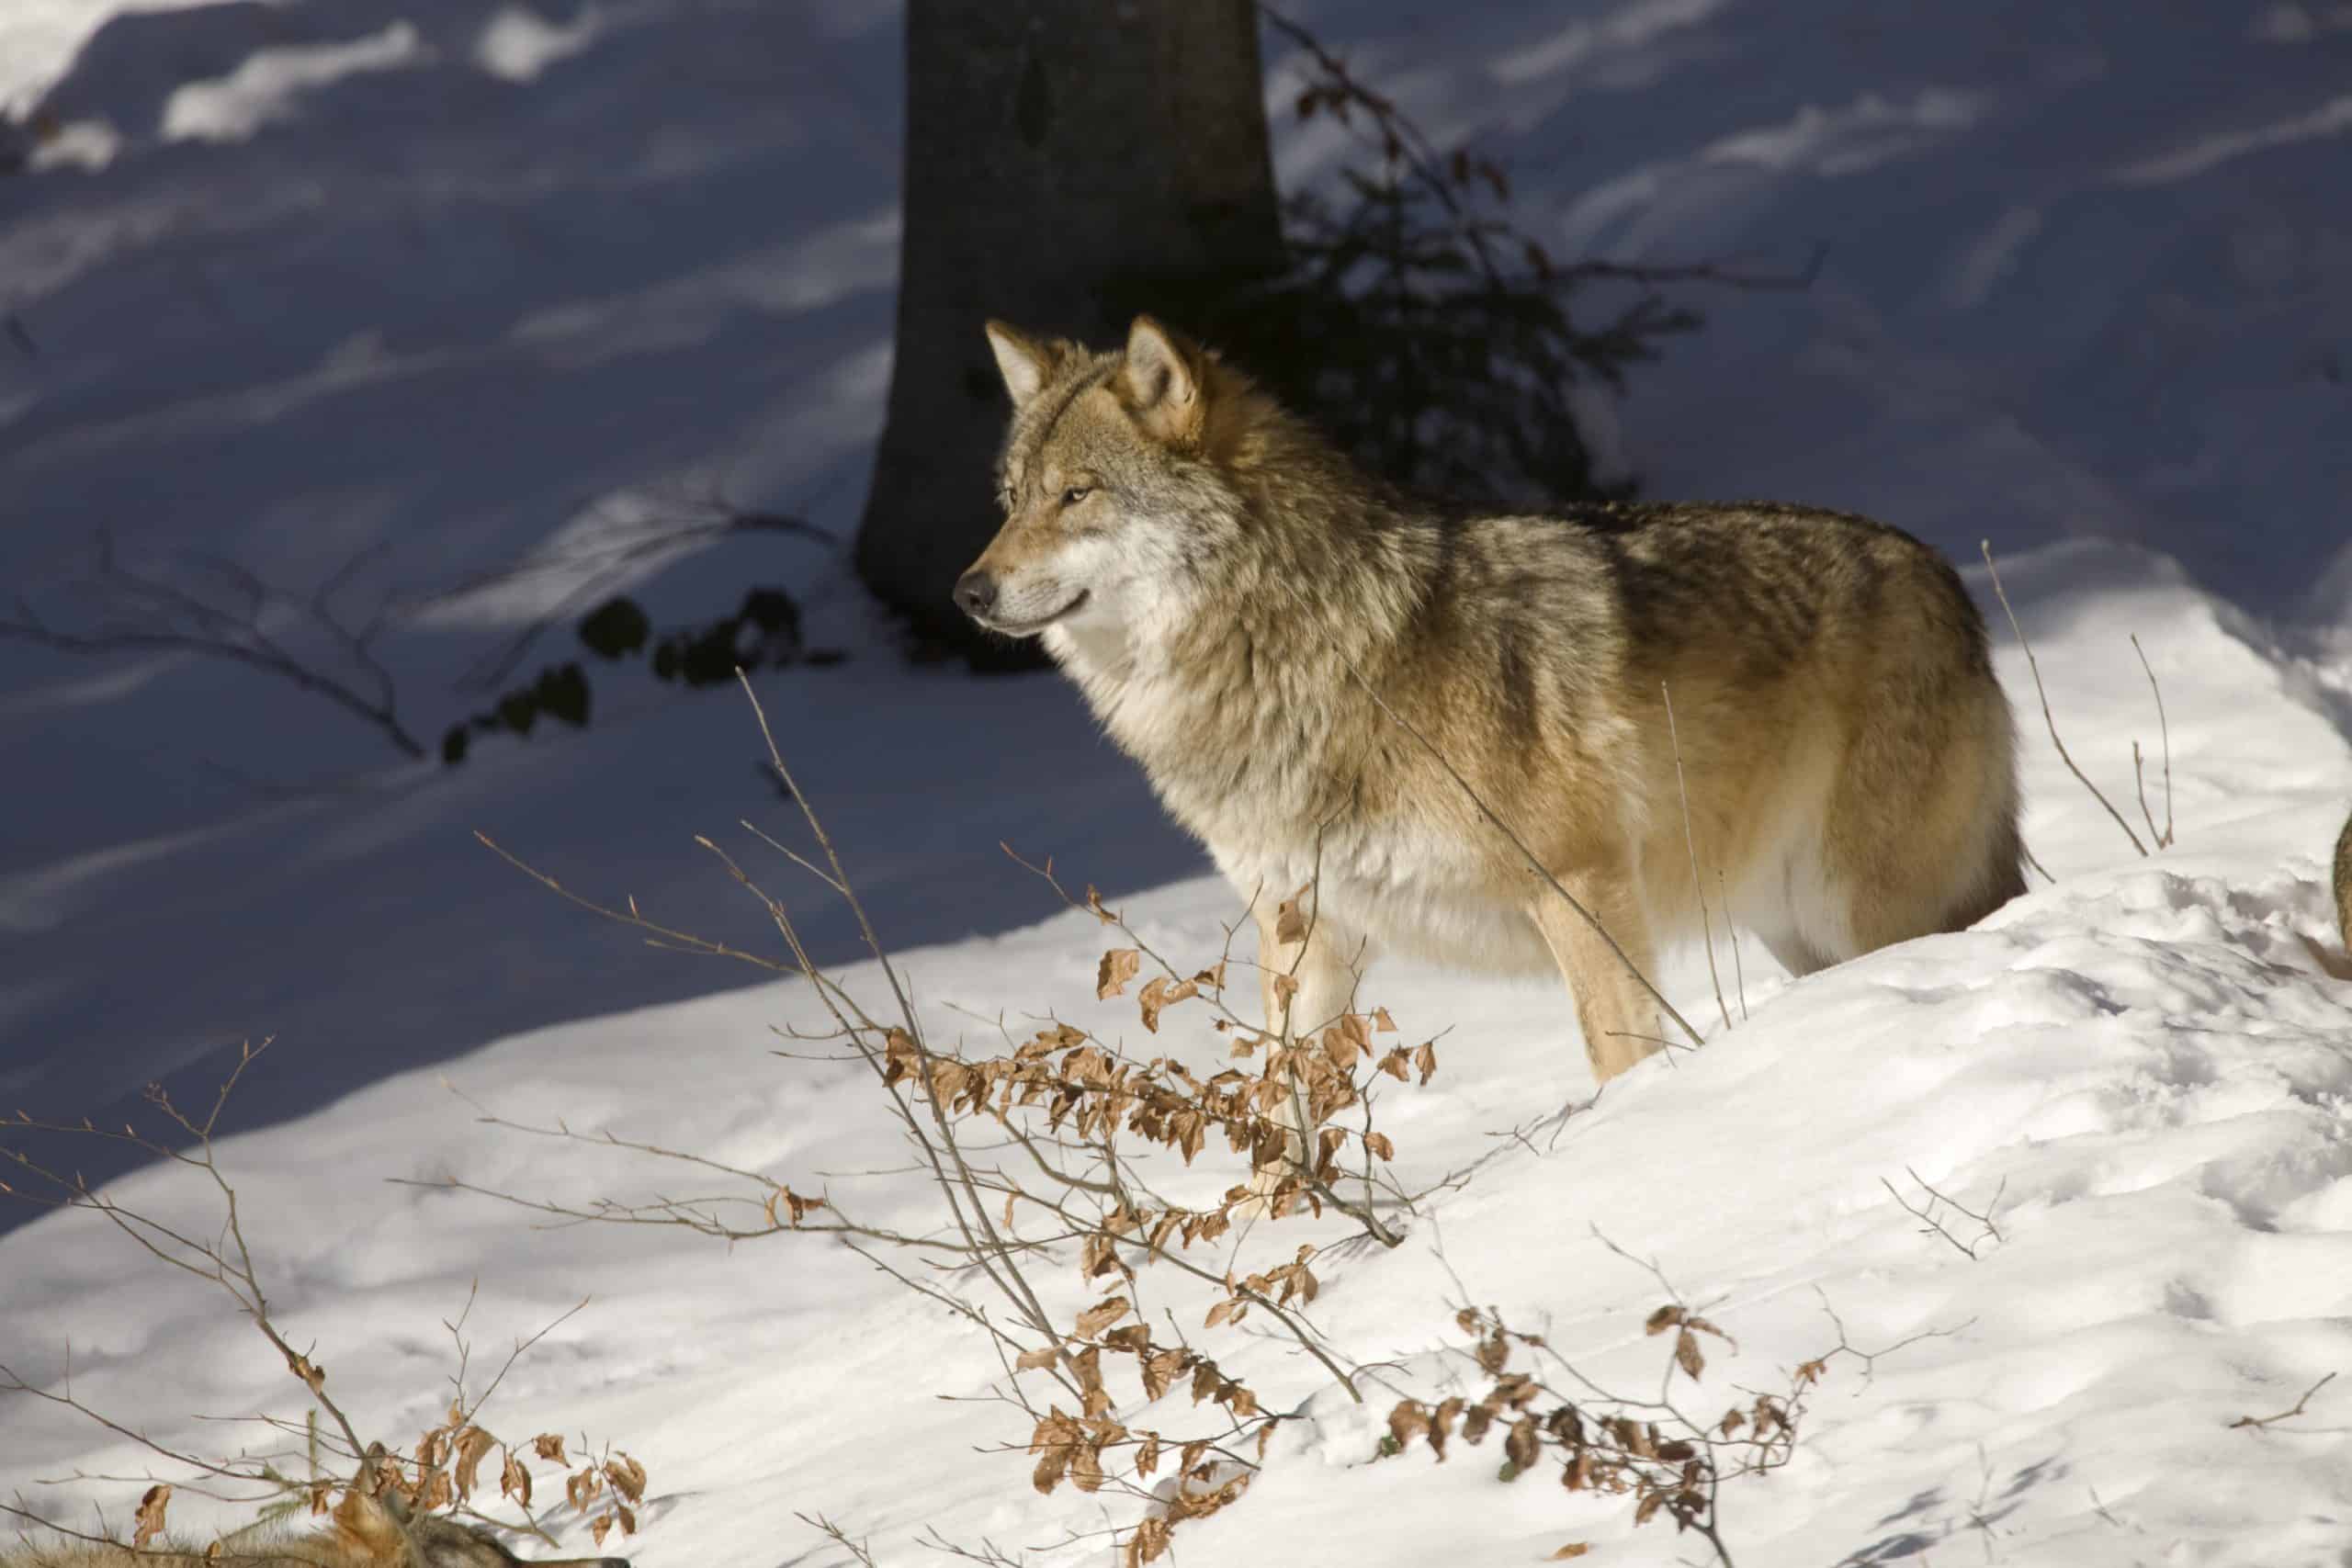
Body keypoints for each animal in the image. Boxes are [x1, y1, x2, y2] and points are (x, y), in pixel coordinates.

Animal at [955, 312, 2022, 1086]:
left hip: (1864, 910)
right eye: (1009, 498)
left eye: (1078, 495)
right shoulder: (1302, 931)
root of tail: (1944, 579)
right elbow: (1286, 1116)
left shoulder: (1580, 888)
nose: (967, 593)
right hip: (1795, 926)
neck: (1305, 648)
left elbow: (1618, 1059)